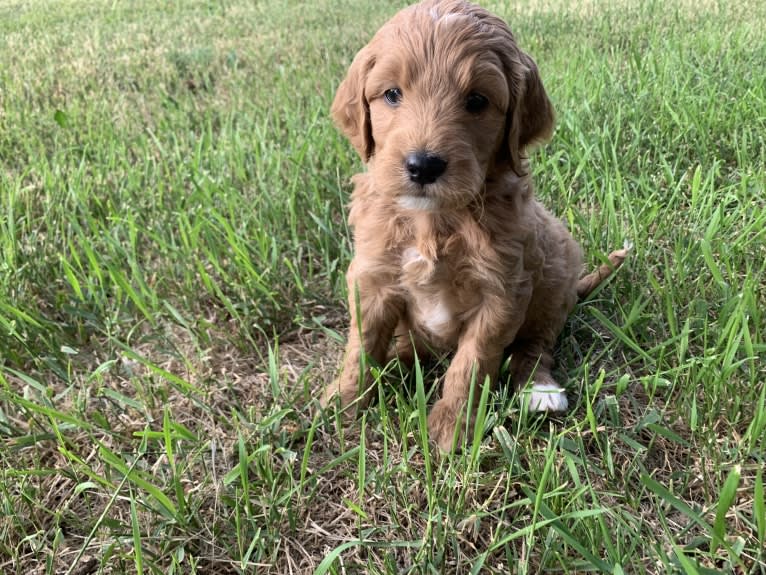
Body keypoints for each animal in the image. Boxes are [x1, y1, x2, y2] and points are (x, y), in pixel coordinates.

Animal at [324, 0, 632, 454]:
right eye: (392, 94)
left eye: (476, 101)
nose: (423, 165)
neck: (434, 220)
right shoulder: (373, 278)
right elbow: (360, 346)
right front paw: (341, 404)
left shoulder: (501, 291)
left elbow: (472, 361)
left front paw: (452, 427)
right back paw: (397, 360)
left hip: (556, 271)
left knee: (535, 345)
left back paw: (540, 390)